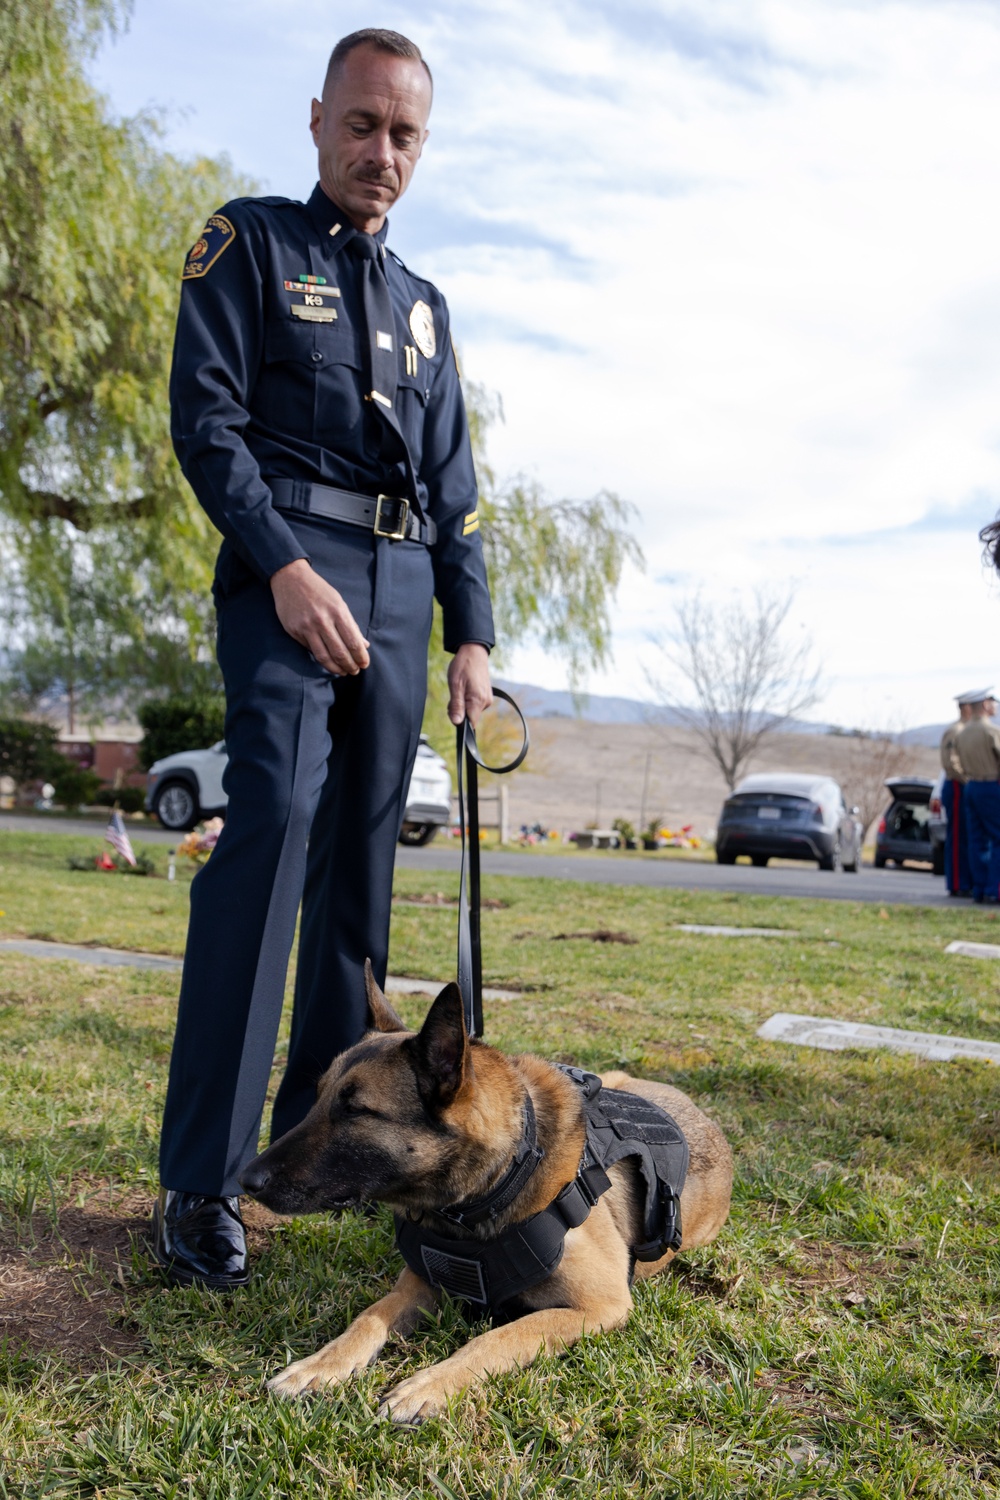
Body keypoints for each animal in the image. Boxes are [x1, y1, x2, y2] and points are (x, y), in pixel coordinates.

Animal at [238, 966, 731, 1422]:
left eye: (355, 1110)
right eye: (317, 1097)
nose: (245, 1179)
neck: (499, 1182)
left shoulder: (600, 1305)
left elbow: (498, 1336)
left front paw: (431, 1384)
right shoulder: (419, 1282)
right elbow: (368, 1317)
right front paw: (321, 1364)